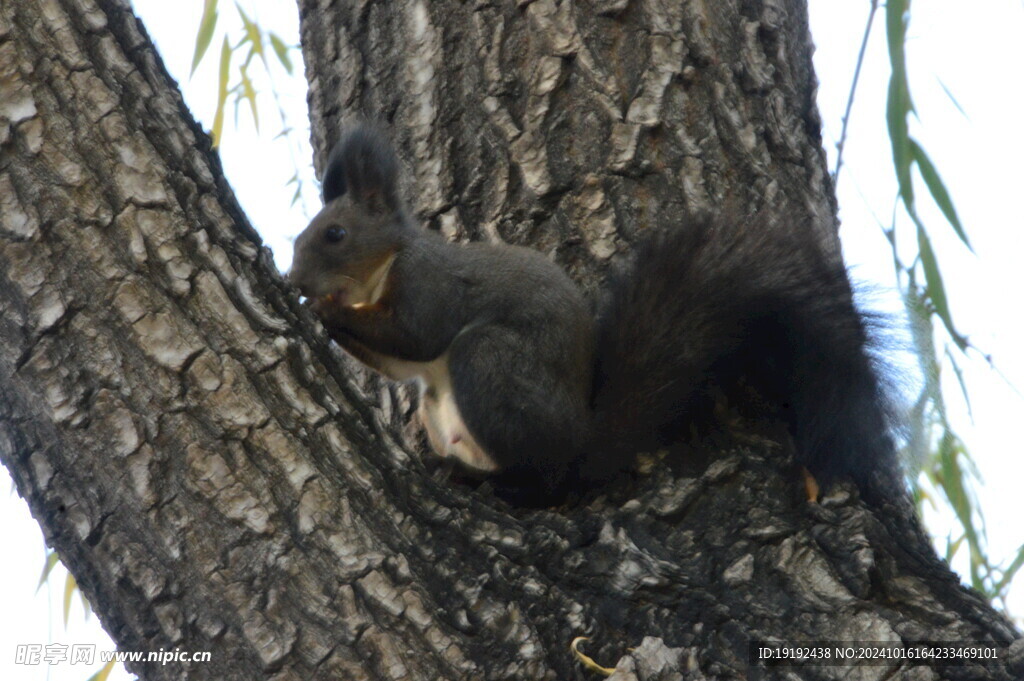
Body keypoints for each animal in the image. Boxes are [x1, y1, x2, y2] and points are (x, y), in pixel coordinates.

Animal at [288, 124, 905, 503]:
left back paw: (478, 476)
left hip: (492, 365)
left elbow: (415, 336)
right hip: (443, 405)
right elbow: (398, 361)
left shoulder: (431, 285)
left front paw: (324, 306)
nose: (296, 279)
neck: (381, 270)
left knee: (541, 482)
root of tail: (581, 440)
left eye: (335, 234)